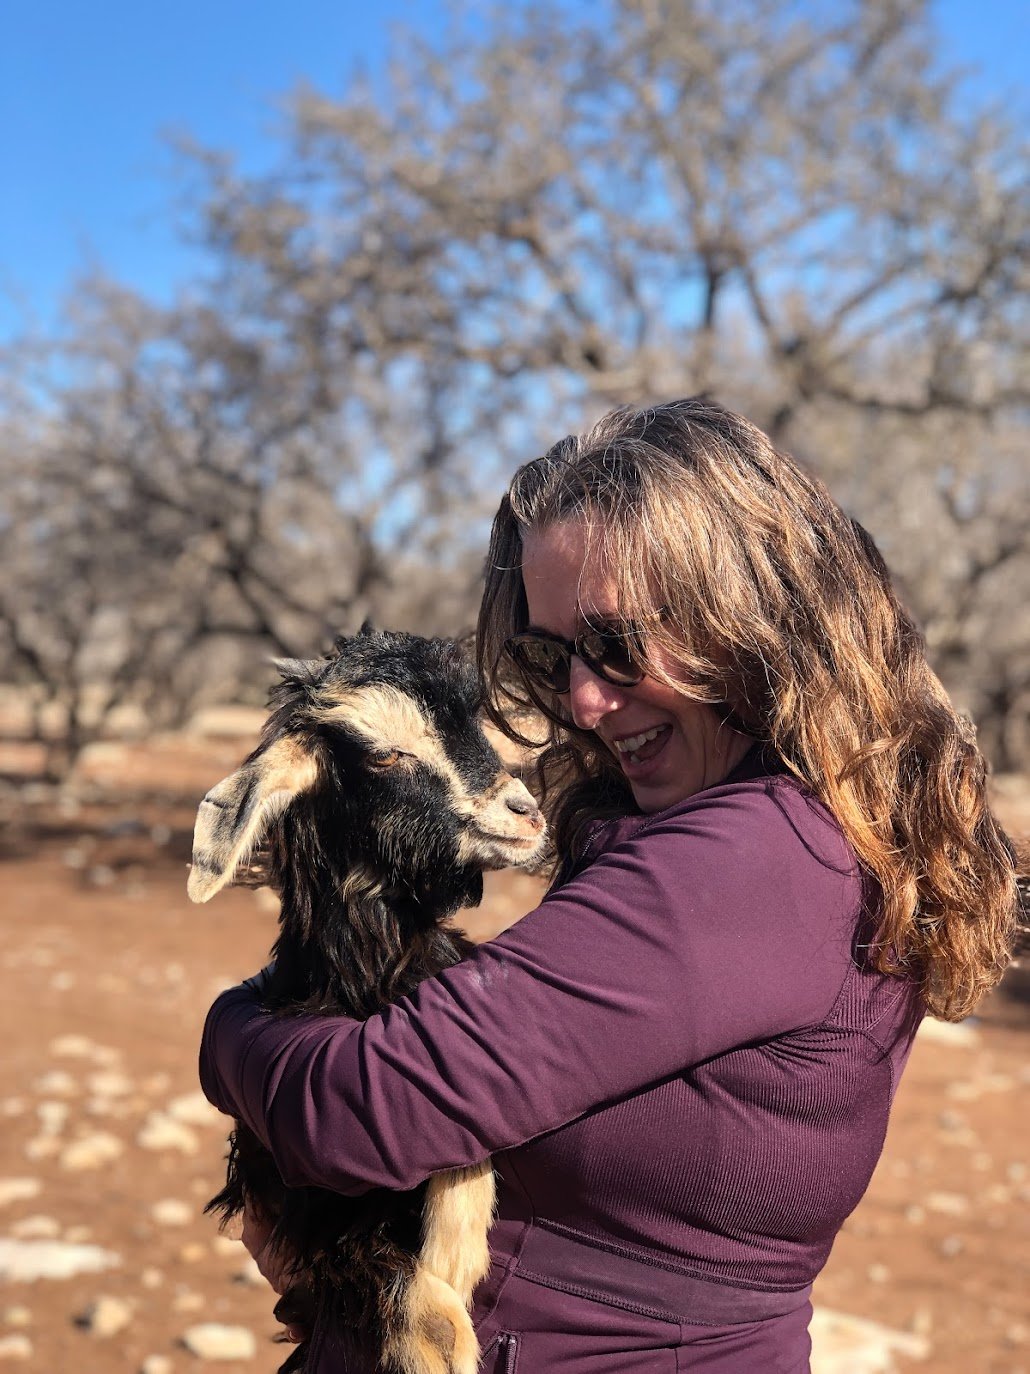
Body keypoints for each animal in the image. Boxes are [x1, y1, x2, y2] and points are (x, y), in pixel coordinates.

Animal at [186, 629, 549, 1374]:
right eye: (384, 752)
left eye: (476, 722)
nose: (525, 815)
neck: (367, 984)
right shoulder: (314, 1211)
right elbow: (428, 1315)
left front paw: (458, 1251)